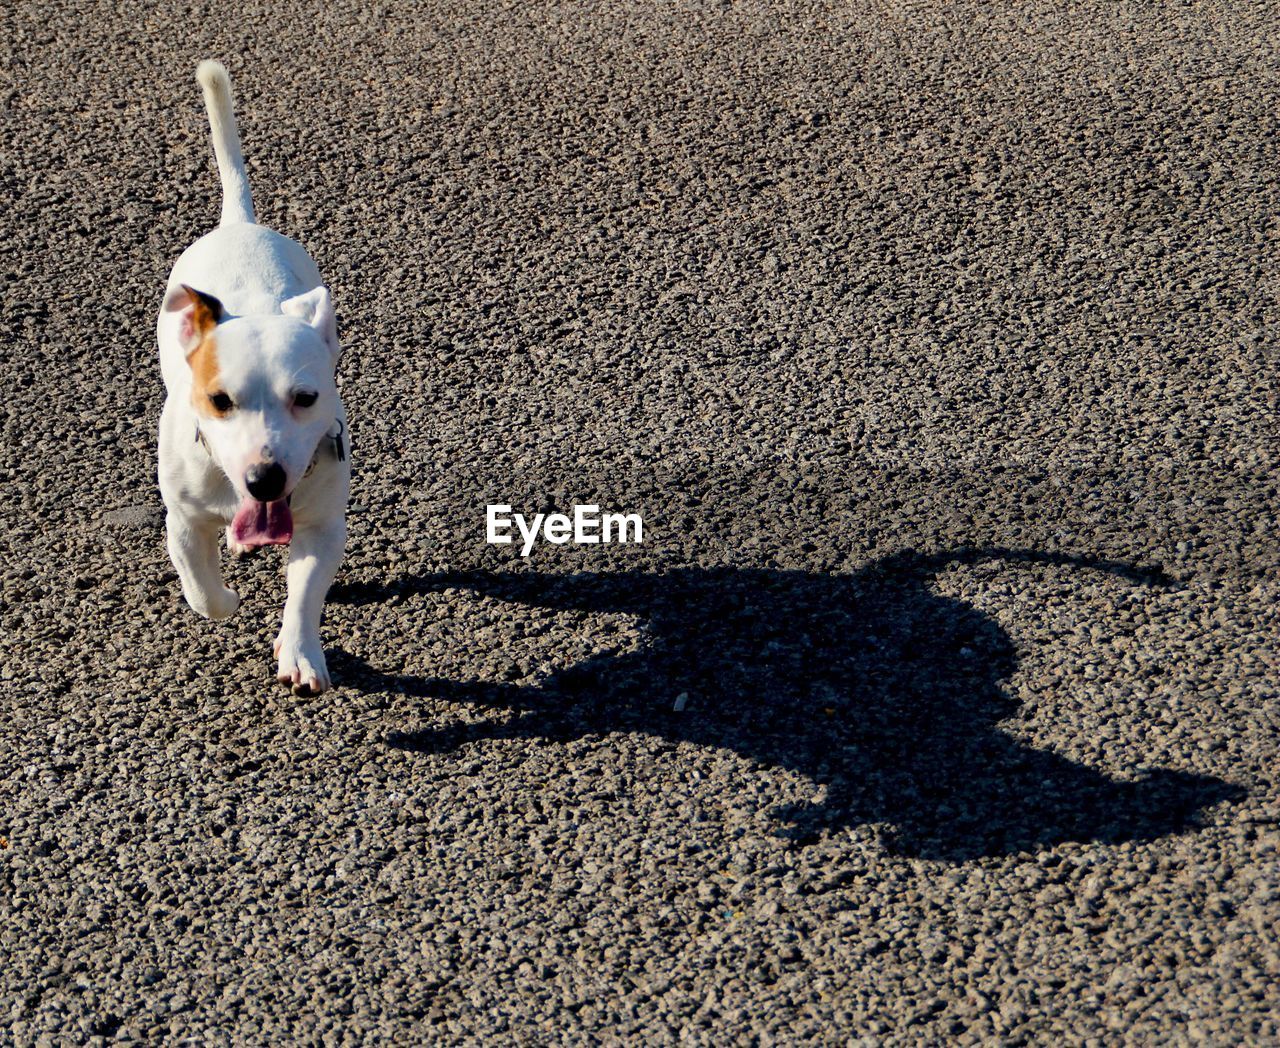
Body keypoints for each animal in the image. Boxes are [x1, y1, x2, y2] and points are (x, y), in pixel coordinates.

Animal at [158, 59, 350, 696]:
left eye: (306, 398)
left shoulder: (322, 523)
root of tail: (238, 222)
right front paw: (226, 597)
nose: (264, 479)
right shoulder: (183, 519)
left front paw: (300, 654)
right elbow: (200, 587)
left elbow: (305, 594)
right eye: (220, 400)